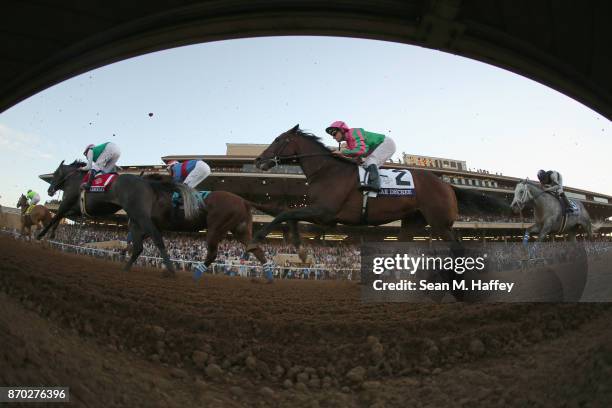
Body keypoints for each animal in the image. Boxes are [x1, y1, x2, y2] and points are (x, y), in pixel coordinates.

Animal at [249, 124, 506, 247]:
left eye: (278, 139)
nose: (258, 160)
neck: (327, 171)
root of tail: (447, 185)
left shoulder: (325, 212)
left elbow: (285, 212)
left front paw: (259, 235)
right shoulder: (325, 217)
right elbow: (287, 213)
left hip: (440, 224)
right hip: (413, 222)